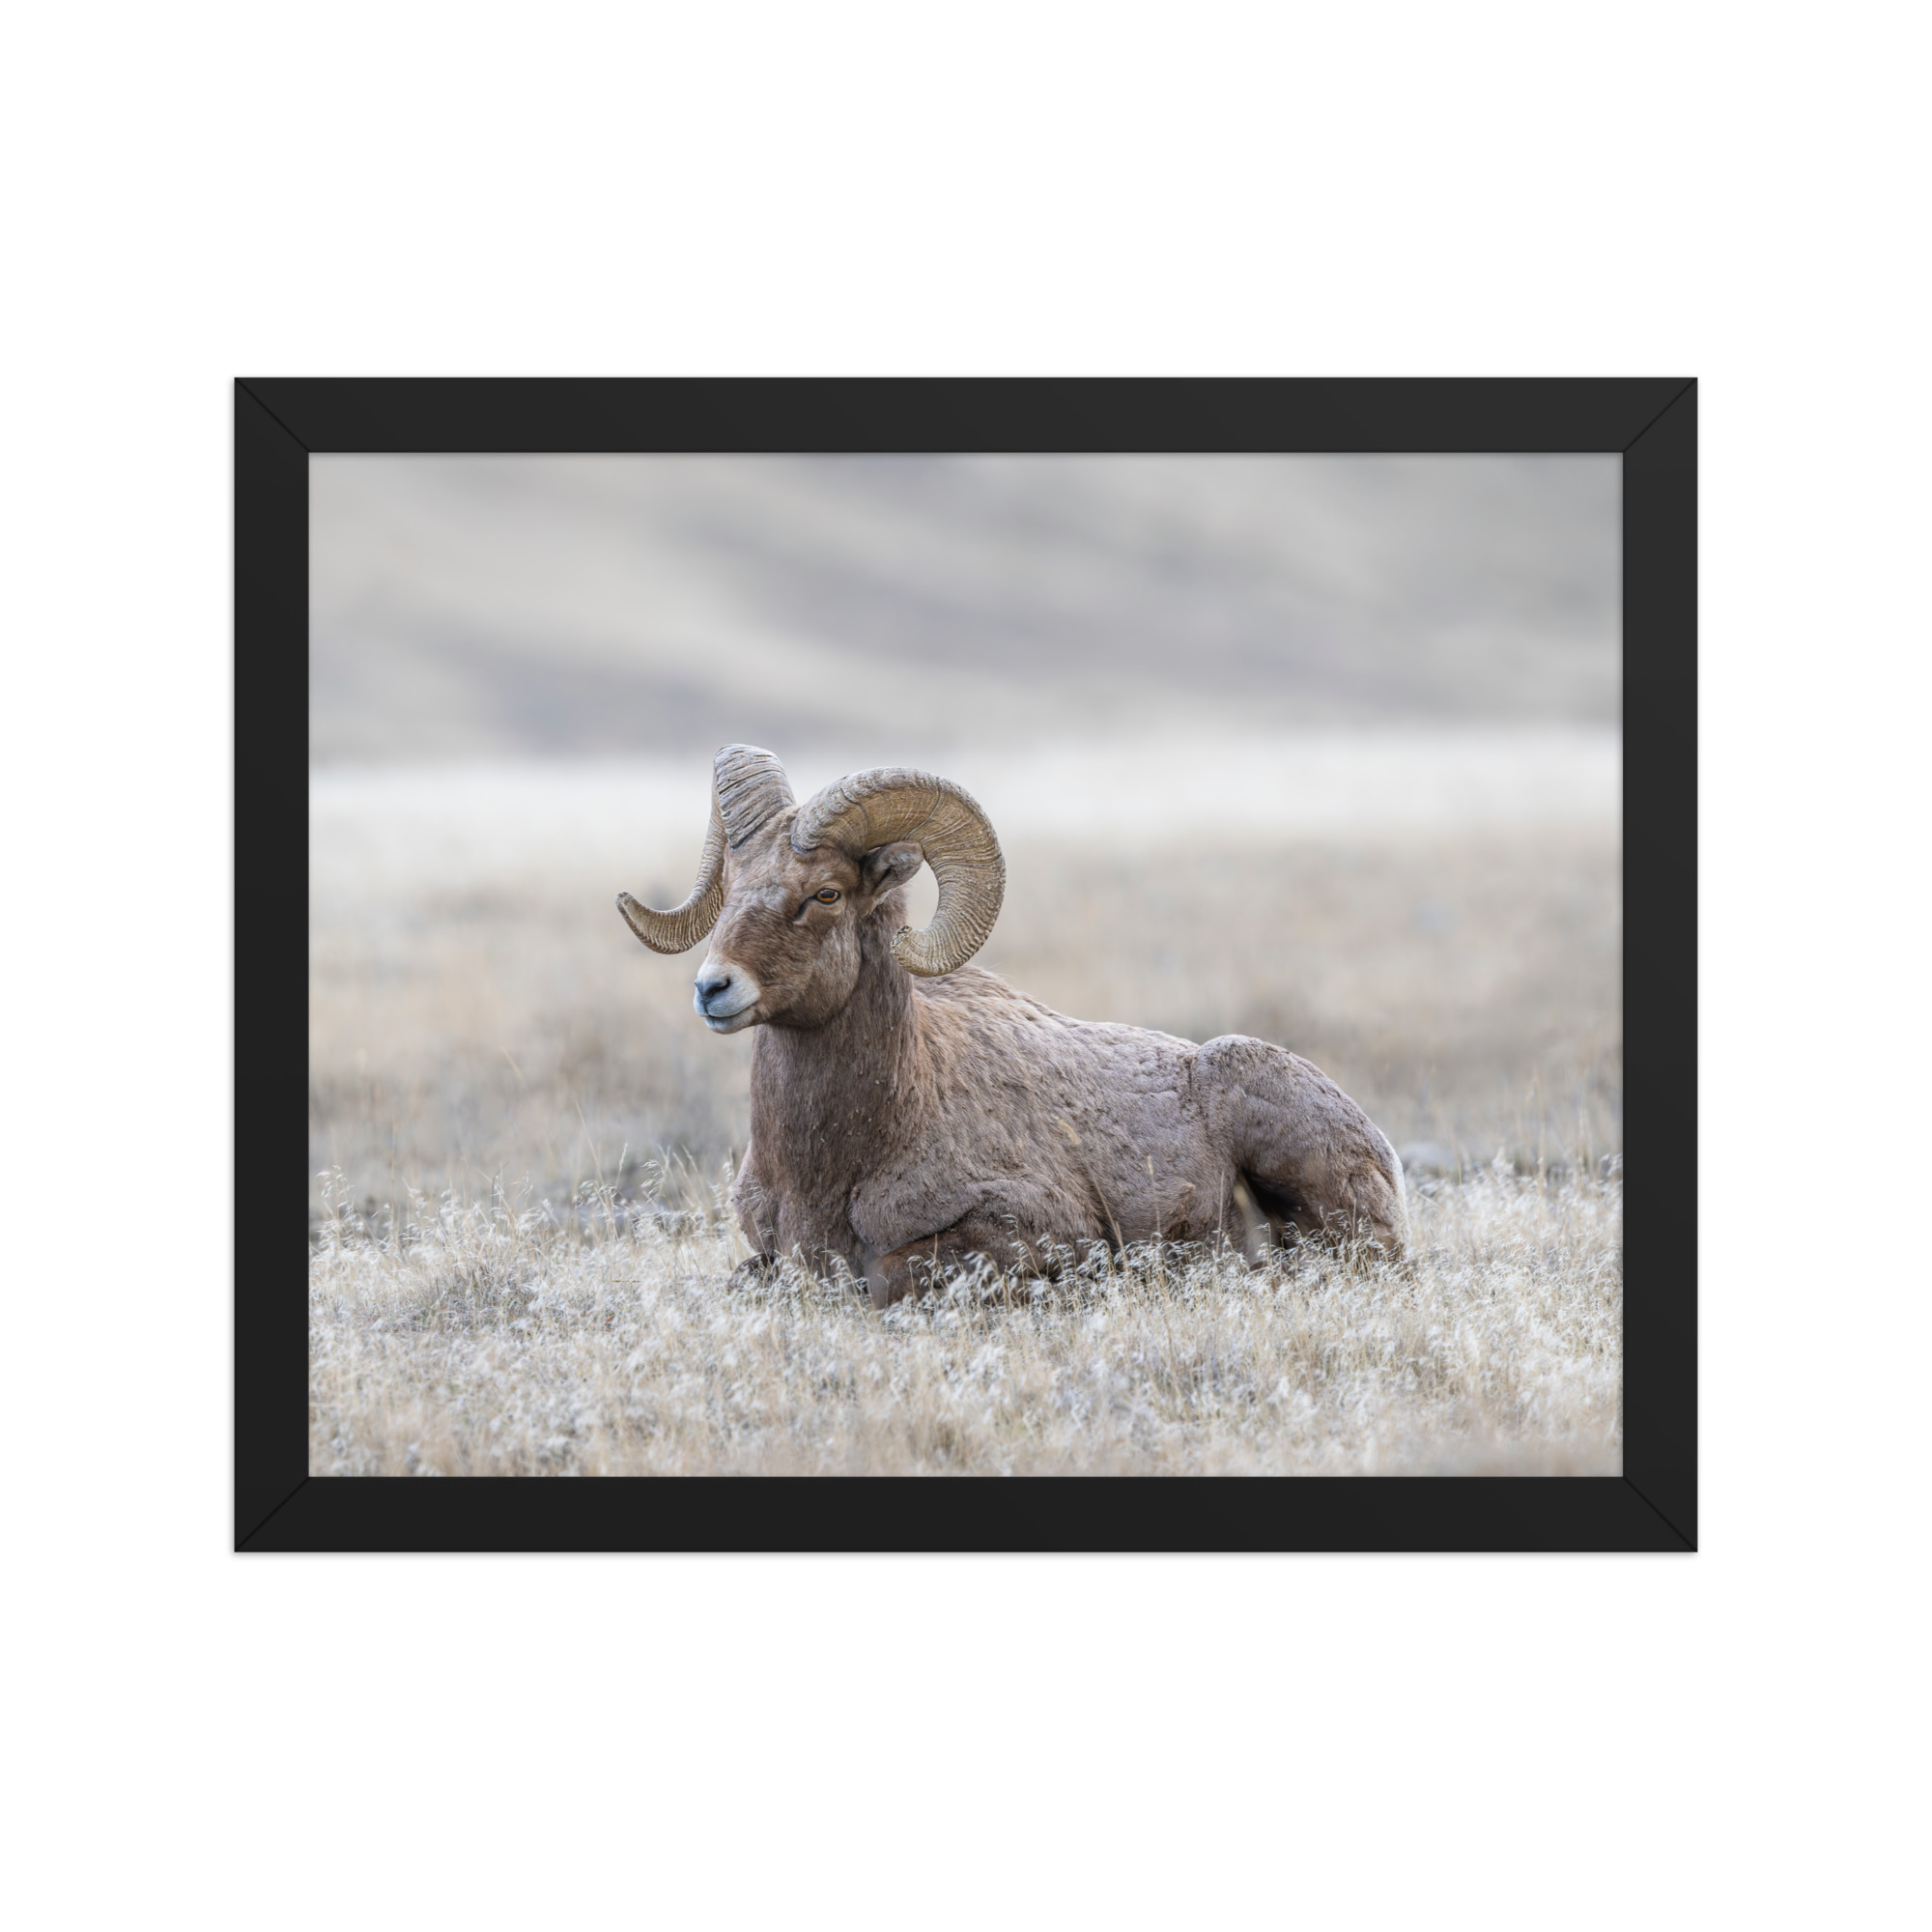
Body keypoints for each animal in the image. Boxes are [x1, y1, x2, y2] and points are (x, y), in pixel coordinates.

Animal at [618, 745, 1406, 1307]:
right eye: (732, 888)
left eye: (827, 894)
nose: (713, 989)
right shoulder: (767, 1253)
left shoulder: (1029, 1233)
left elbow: (890, 1276)